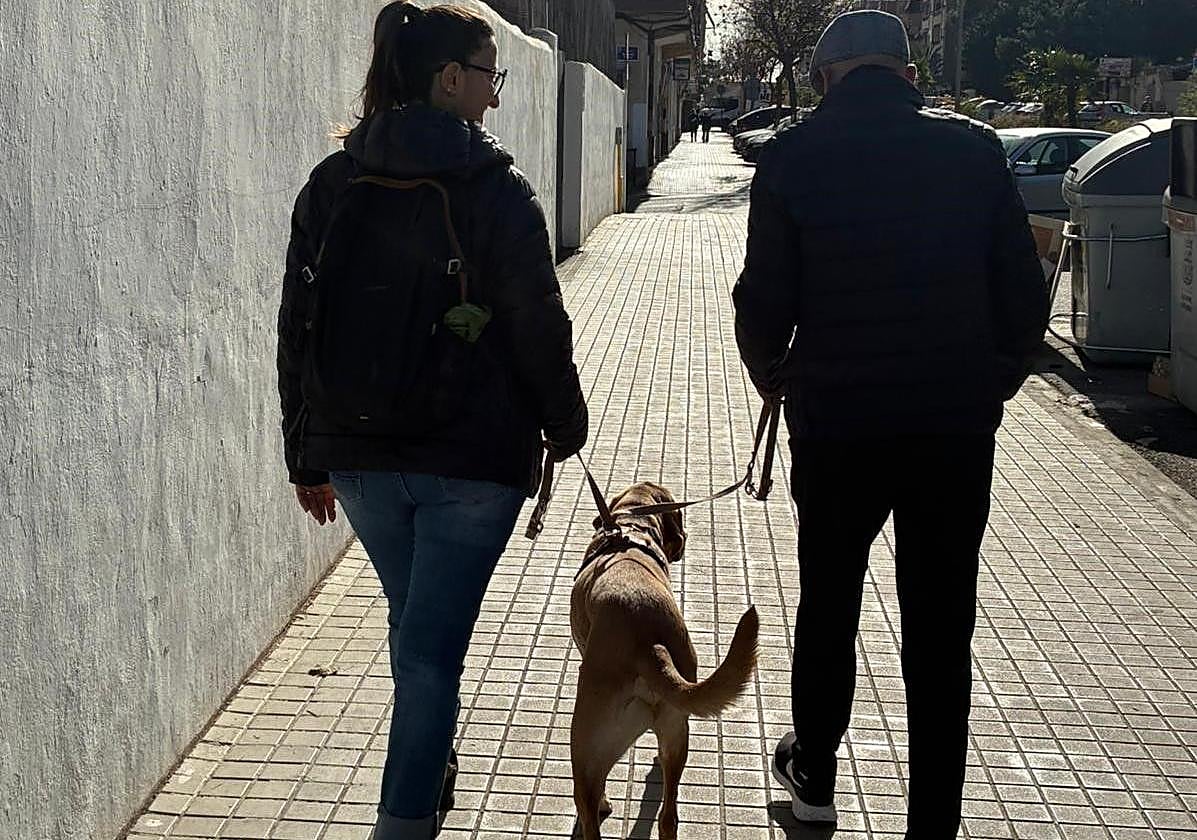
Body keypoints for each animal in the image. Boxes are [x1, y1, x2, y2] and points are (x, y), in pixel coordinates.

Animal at [569, 482, 760, 840]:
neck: (631, 527)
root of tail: (648, 647)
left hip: (587, 745)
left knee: (589, 807)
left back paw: (598, 807)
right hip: (676, 729)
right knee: (668, 815)